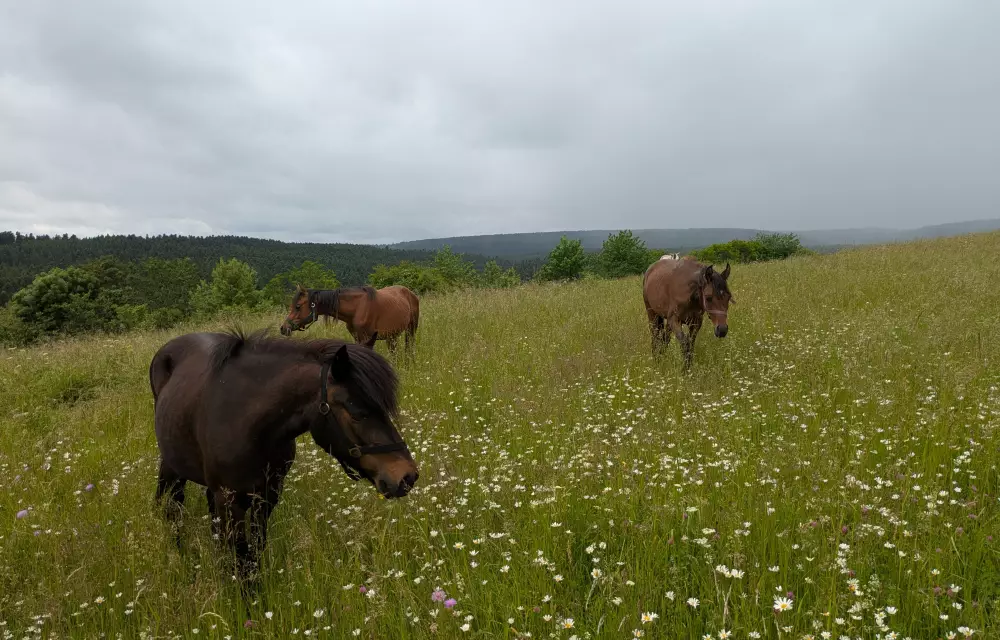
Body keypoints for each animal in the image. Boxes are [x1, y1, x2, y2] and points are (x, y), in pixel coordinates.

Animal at [149, 329, 418, 580]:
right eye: (357, 412)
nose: (407, 477)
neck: (248, 423)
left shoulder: (268, 494)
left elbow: (254, 551)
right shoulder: (230, 500)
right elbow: (243, 560)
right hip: (172, 468)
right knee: (171, 507)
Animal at [280, 285, 420, 357]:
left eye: (298, 306)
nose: (283, 328)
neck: (357, 308)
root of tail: (410, 293)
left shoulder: (366, 339)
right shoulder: (357, 338)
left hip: (411, 330)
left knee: (409, 347)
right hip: (392, 336)